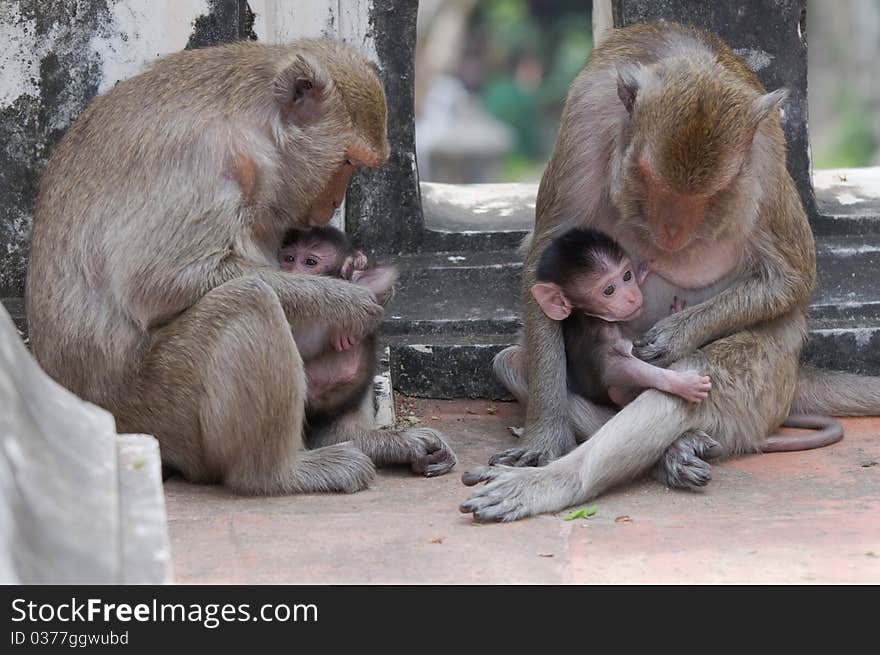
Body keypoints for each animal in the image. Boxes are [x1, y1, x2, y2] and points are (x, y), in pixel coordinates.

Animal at [528, 228, 708, 408]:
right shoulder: (598, 335)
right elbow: (616, 369)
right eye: (609, 290)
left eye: (627, 276)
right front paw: (682, 383)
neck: (593, 317)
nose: (633, 297)